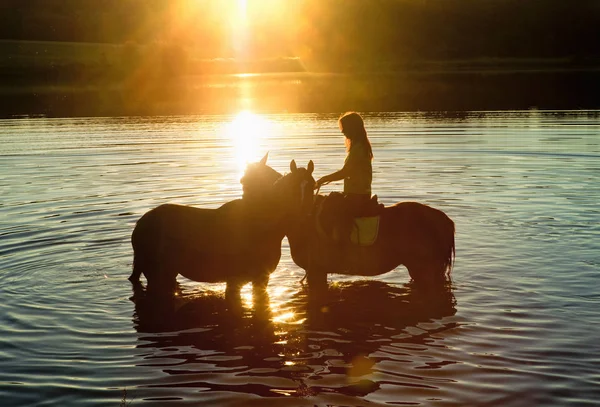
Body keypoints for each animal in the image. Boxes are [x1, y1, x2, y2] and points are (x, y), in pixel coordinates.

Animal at [126, 155, 314, 298]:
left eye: (313, 186)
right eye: (291, 190)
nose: (304, 217)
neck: (261, 226)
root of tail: (140, 223)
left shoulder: (261, 279)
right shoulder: (235, 281)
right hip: (158, 275)